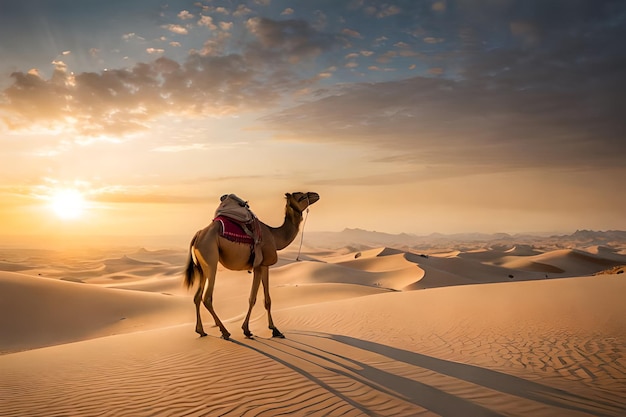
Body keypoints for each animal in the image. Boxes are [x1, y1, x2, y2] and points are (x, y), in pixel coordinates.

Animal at [180, 191, 316, 338]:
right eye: (301, 196)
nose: (315, 195)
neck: (275, 236)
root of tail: (198, 235)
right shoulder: (261, 265)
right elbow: (255, 298)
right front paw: (253, 329)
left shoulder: (263, 265)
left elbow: (265, 299)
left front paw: (270, 329)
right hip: (211, 259)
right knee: (207, 297)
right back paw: (225, 332)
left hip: (201, 267)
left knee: (197, 297)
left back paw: (201, 331)